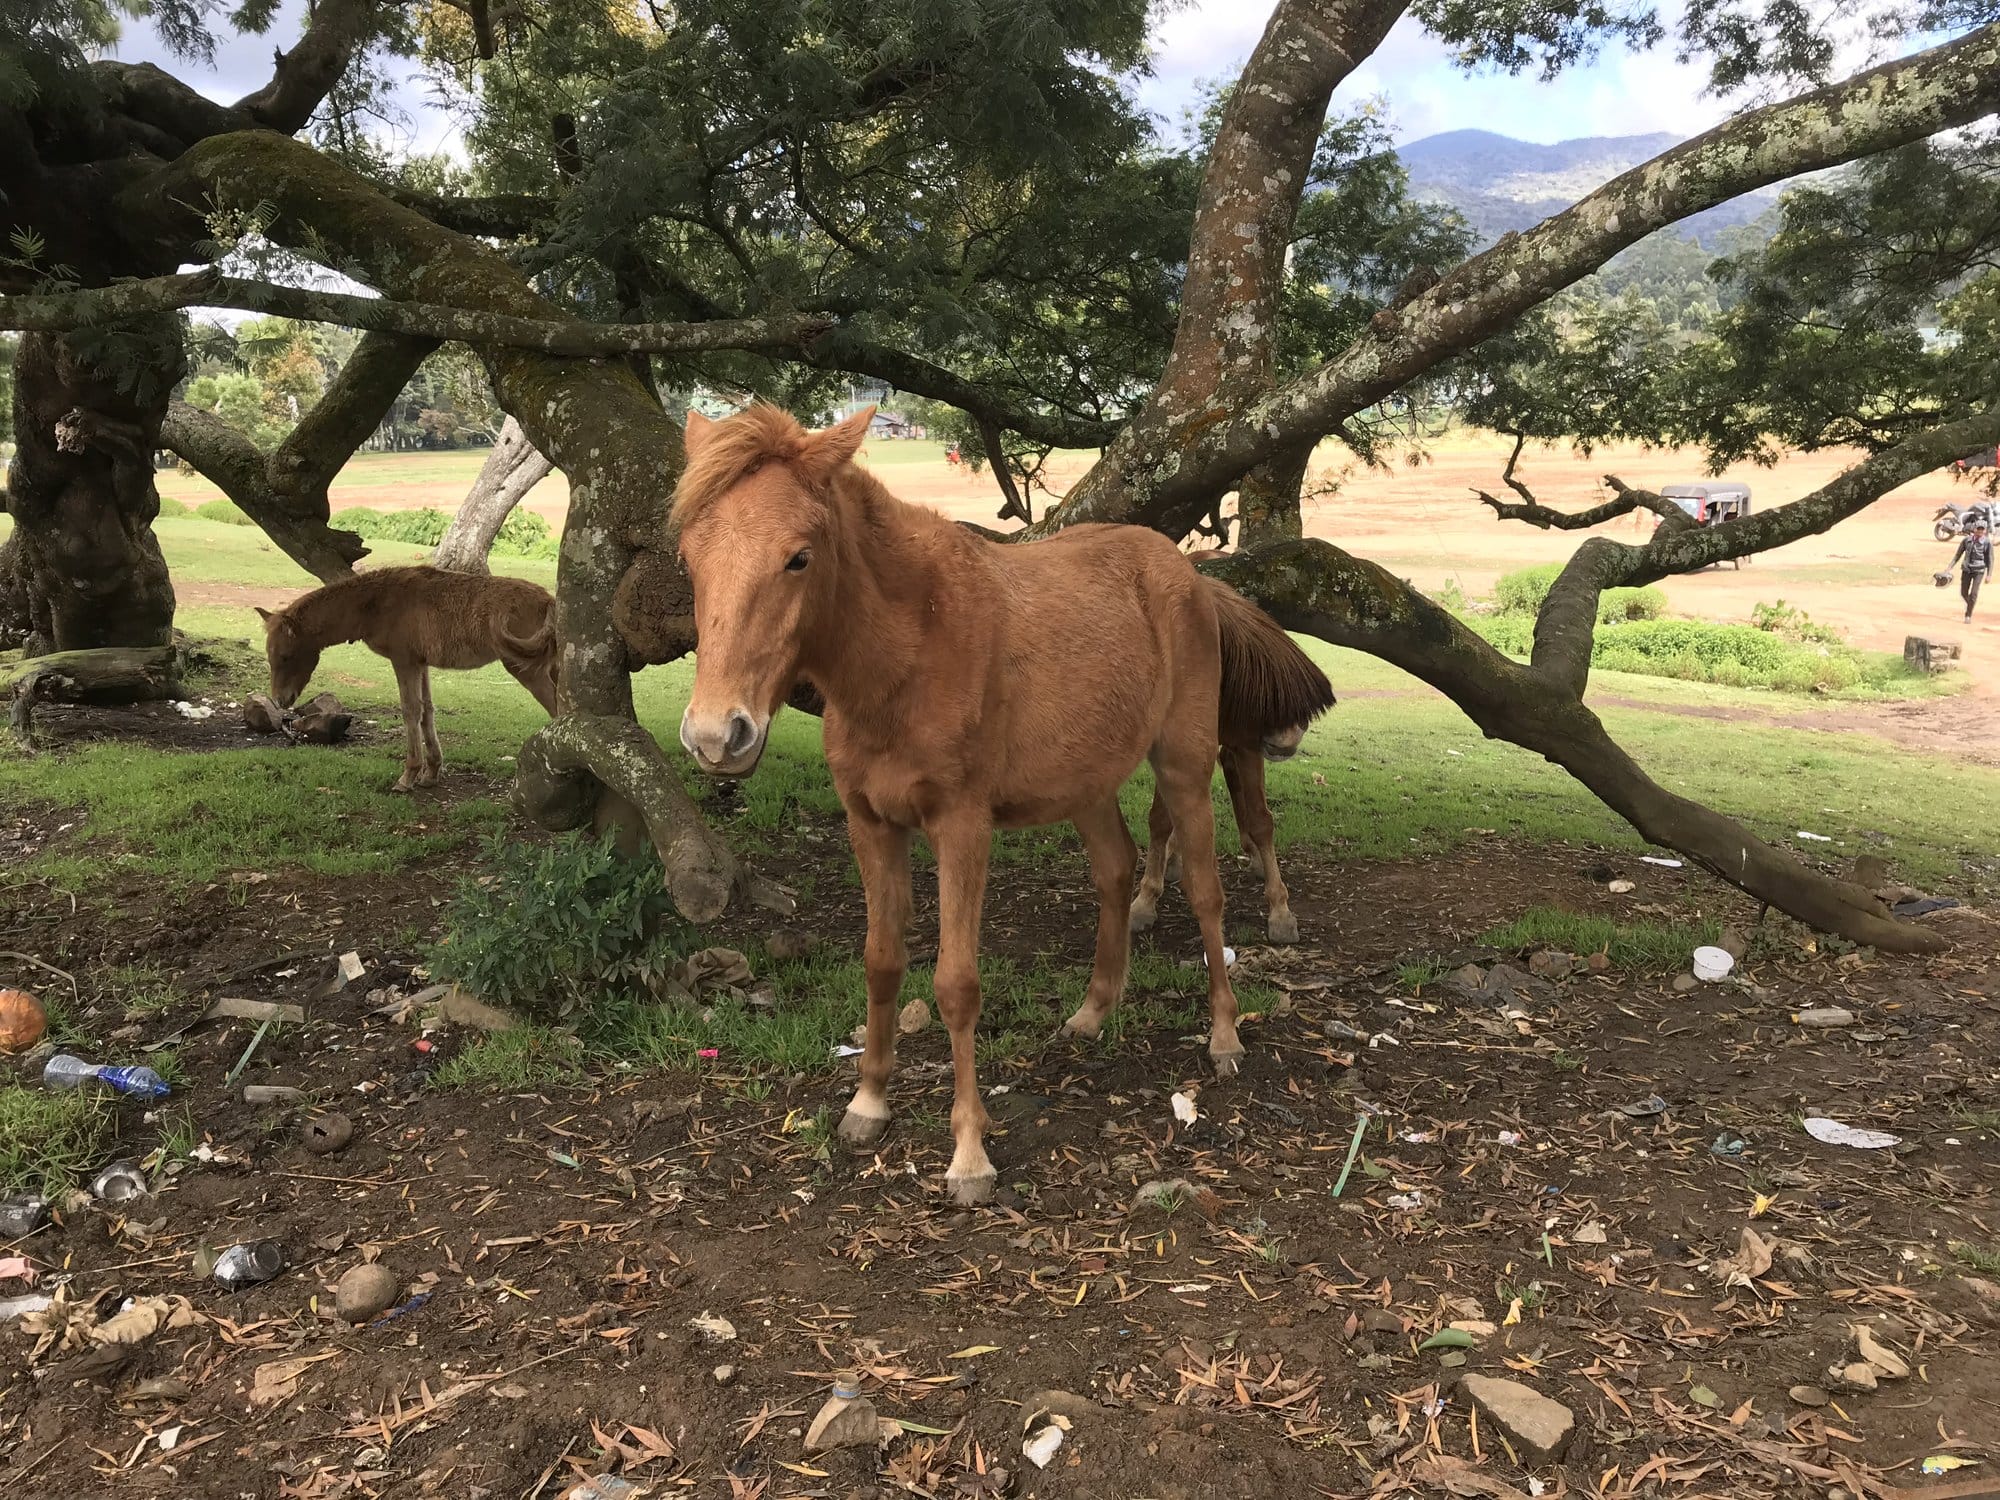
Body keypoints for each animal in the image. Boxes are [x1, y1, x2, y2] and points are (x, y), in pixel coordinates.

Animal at [256, 565, 558, 792]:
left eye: (285, 656)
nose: (280, 699)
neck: (376, 603)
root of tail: (549, 602)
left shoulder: (404, 661)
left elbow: (410, 710)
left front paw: (408, 776)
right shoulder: (421, 663)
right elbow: (427, 711)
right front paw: (431, 772)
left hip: (525, 669)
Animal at [1129, 550, 1335, 944]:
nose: (1288, 738)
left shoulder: (1247, 743)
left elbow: (1261, 819)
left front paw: (1280, 910)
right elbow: (1160, 820)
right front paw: (1146, 899)